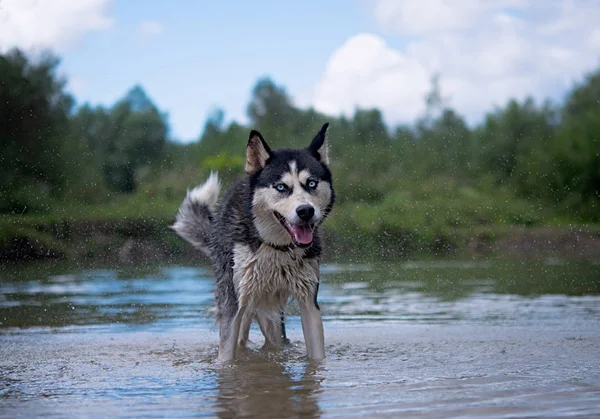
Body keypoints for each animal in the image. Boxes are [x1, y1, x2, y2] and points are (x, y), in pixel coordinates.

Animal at [171, 123, 336, 362]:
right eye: (281, 187)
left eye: (311, 184)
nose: (305, 211)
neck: (276, 247)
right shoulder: (233, 307)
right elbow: (226, 358)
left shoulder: (309, 302)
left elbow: (317, 356)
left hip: (271, 315)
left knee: (275, 342)